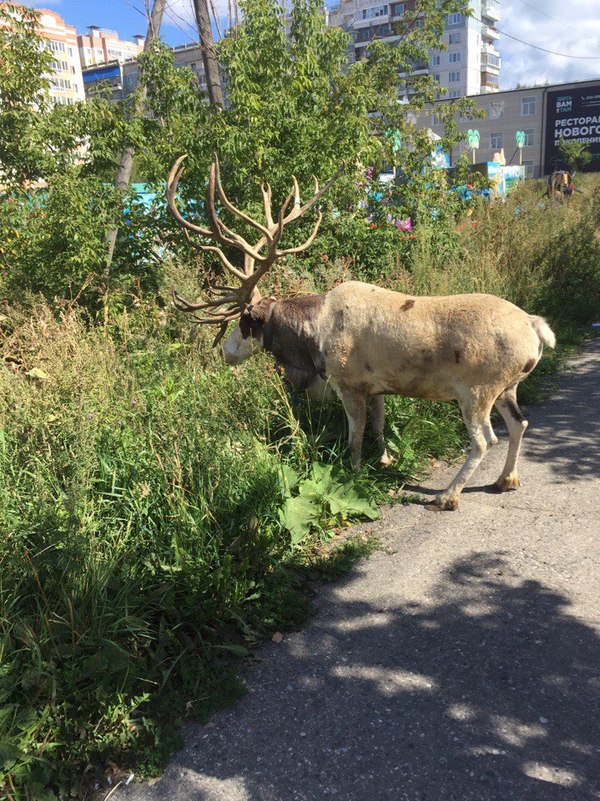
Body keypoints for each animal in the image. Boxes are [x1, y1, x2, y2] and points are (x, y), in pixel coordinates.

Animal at [166, 153, 556, 510]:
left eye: (246, 322)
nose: (225, 352)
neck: (311, 340)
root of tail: (535, 329)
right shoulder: (378, 386)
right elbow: (379, 427)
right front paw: (384, 460)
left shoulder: (348, 382)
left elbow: (355, 435)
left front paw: (353, 472)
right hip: (508, 387)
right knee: (519, 424)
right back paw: (507, 479)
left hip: (477, 390)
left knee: (485, 440)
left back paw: (448, 495)